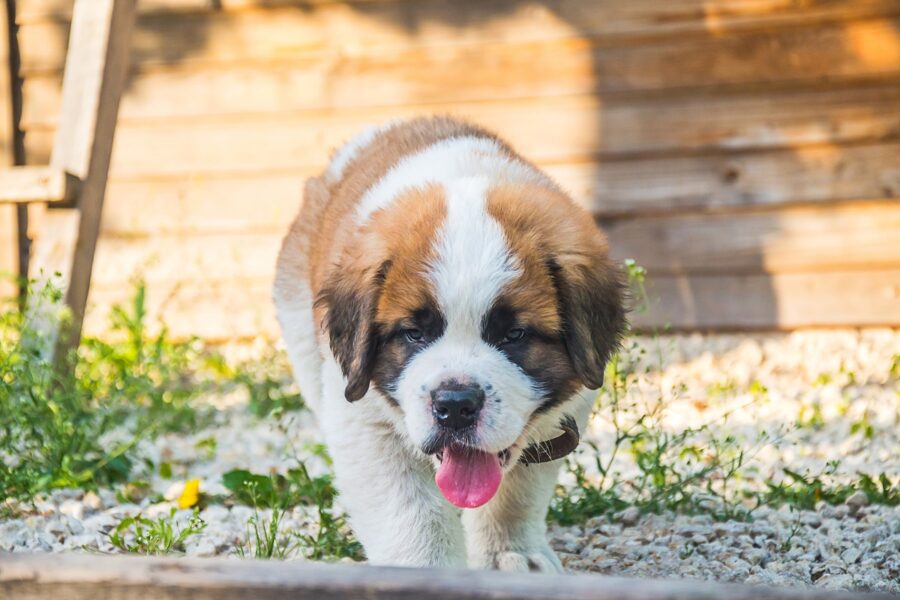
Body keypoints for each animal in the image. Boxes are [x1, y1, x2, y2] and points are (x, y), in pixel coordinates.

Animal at [274, 118, 624, 572]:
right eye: (414, 333)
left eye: (514, 335)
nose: (455, 405)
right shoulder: (363, 421)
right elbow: (412, 513)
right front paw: (428, 572)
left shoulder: (563, 416)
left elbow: (517, 493)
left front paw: (510, 553)